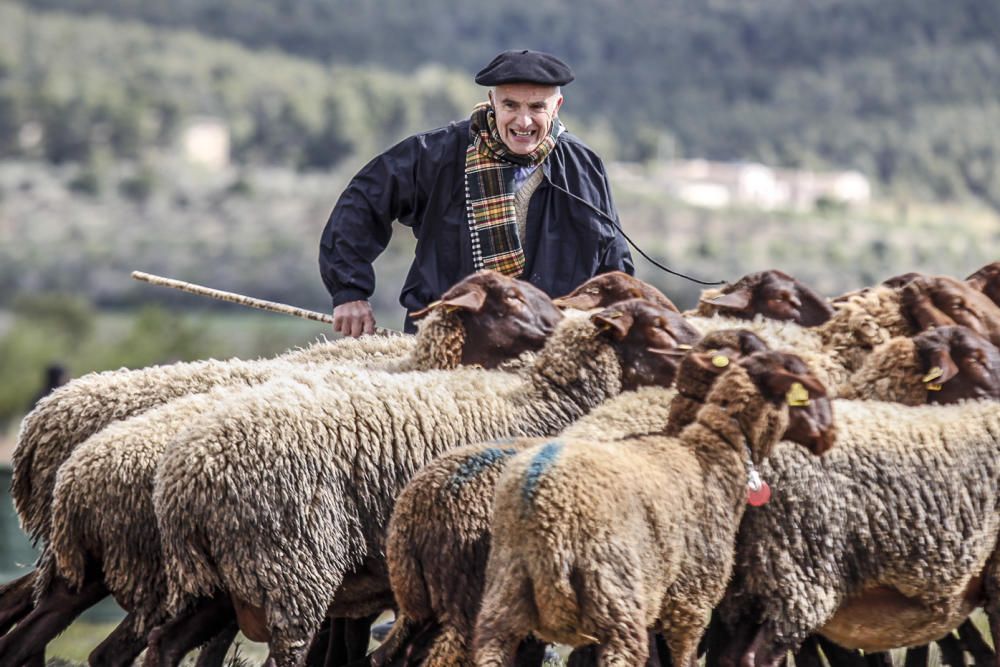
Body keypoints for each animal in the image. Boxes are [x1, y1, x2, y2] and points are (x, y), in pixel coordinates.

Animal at [152, 298, 692, 667]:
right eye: (656, 325)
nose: (700, 350)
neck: (542, 401)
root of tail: (184, 479)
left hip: (216, 582)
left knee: (163, 646)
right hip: (290, 566)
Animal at [472, 350, 832, 667]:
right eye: (800, 384)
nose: (829, 436)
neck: (710, 455)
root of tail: (542, 494)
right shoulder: (690, 600)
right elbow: (683, 658)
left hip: (504, 592)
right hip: (613, 593)